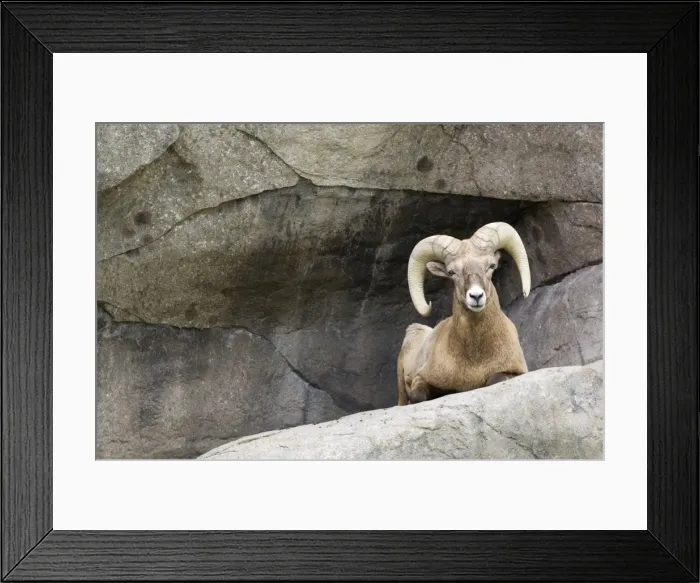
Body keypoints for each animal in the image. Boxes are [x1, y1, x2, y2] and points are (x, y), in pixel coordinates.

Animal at [396, 222, 531, 405]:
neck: (474, 360)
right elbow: (418, 396)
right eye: (452, 272)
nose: (476, 296)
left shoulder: (515, 372)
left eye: (491, 266)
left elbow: (494, 380)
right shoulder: (420, 378)